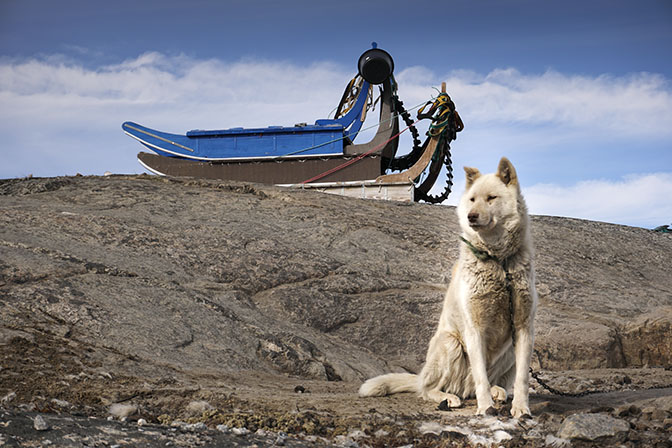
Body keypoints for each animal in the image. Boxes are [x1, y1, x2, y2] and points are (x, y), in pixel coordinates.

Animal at [360, 157, 540, 416]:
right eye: (472, 199)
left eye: (491, 198)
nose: (471, 216)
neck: (498, 260)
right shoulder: (475, 328)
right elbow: (480, 376)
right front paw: (485, 409)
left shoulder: (524, 327)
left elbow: (523, 378)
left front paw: (521, 409)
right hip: (450, 343)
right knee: (429, 389)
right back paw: (449, 397)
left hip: (508, 353)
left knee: (485, 384)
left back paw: (498, 391)